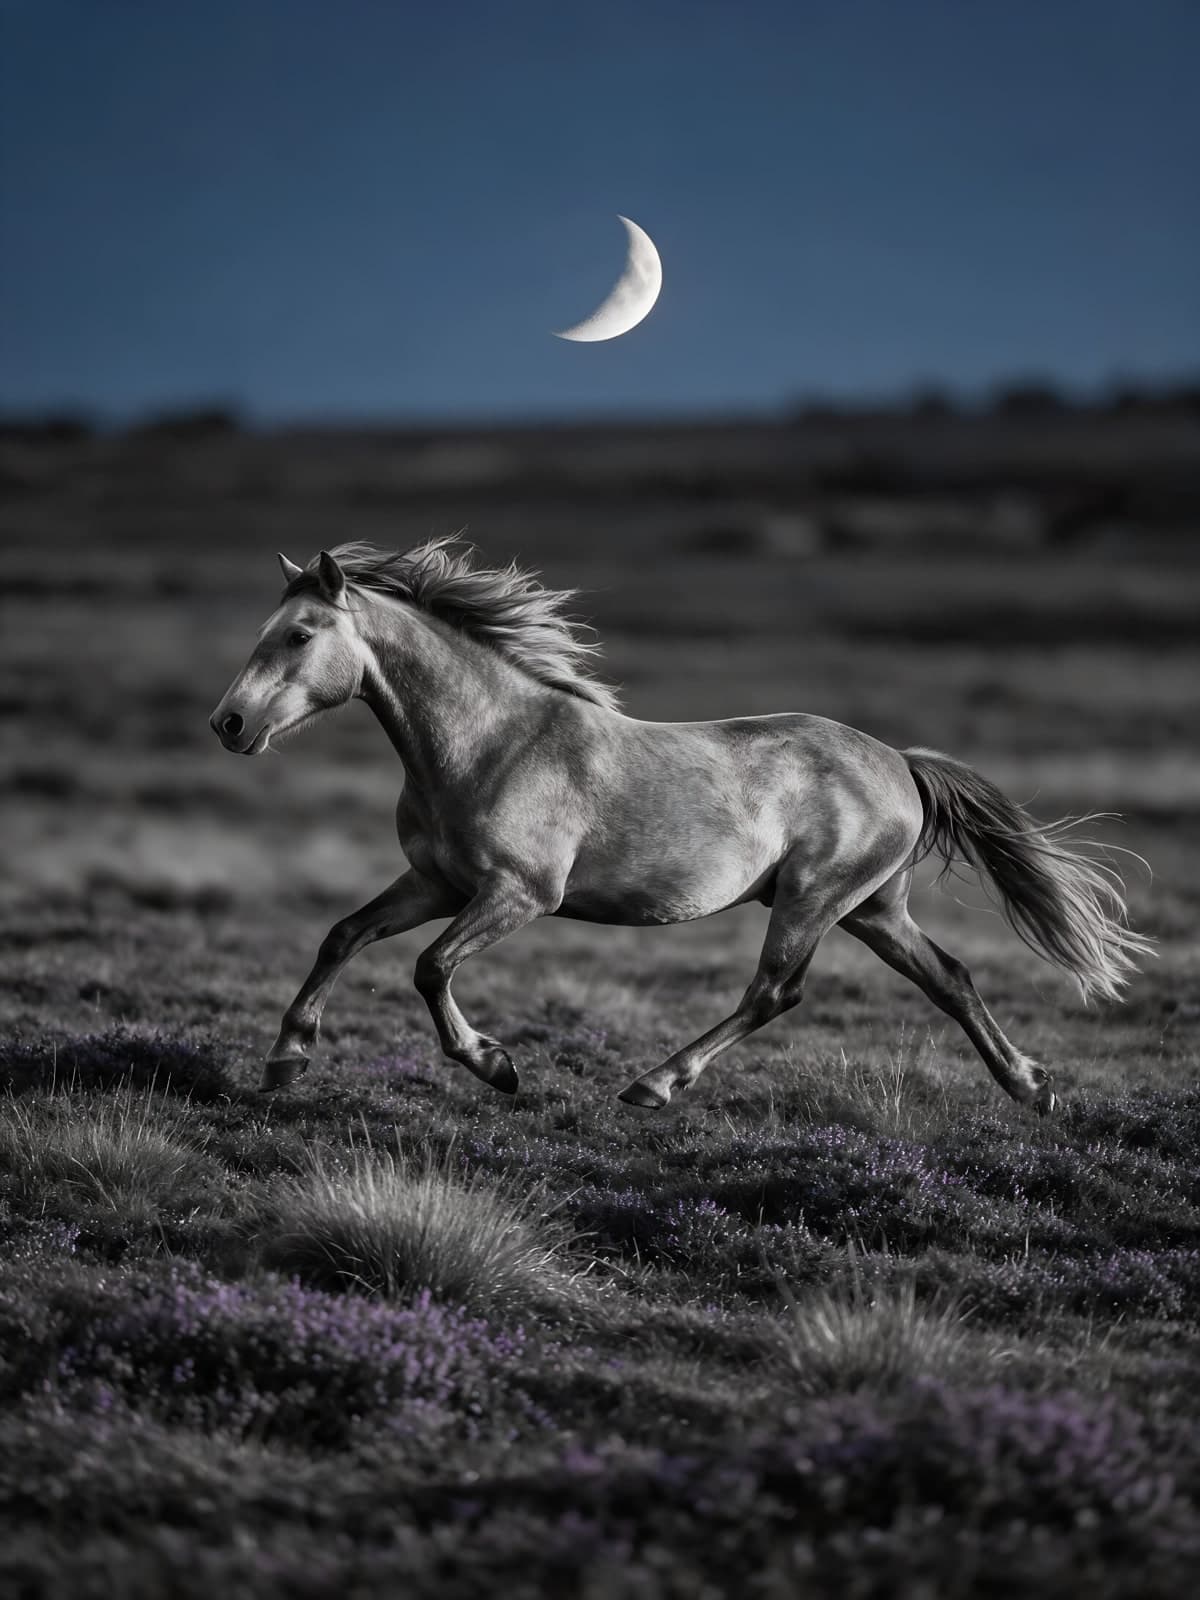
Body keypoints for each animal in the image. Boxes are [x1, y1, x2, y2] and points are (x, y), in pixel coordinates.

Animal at [210, 539, 1150, 1112]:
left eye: (299, 635)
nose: (229, 724)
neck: (491, 741)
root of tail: (900, 763)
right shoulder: (436, 881)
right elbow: (344, 935)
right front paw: (285, 1058)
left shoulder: (518, 894)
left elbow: (429, 967)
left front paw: (496, 1065)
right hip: (874, 910)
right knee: (949, 978)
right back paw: (1029, 1084)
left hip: (813, 901)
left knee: (774, 992)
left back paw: (655, 1085)